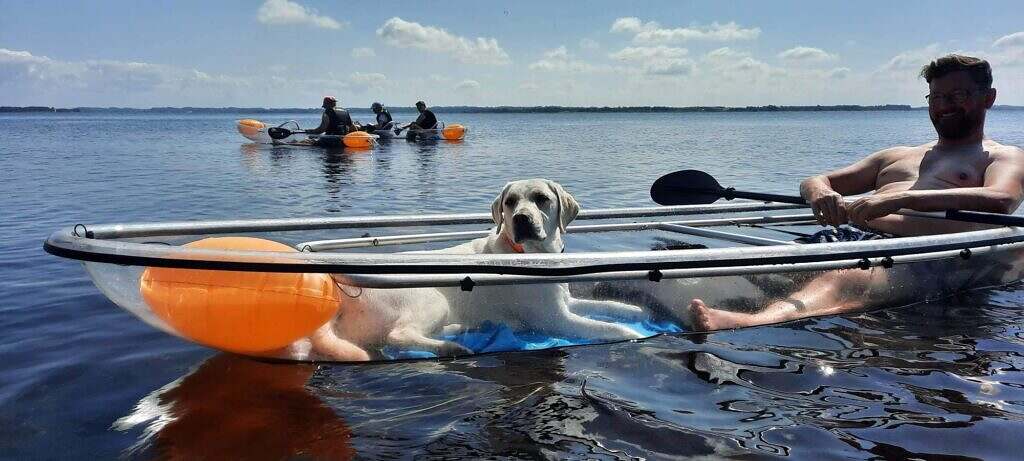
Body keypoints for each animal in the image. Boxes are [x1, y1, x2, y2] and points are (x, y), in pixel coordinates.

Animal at [299, 178, 643, 362]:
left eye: (542, 199)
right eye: (510, 201)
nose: (521, 219)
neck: (534, 255)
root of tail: (340, 296)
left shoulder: (565, 302)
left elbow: (609, 306)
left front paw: (636, 311)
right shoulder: (556, 320)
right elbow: (609, 329)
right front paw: (633, 335)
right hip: (430, 297)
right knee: (398, 335)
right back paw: (453, 346)